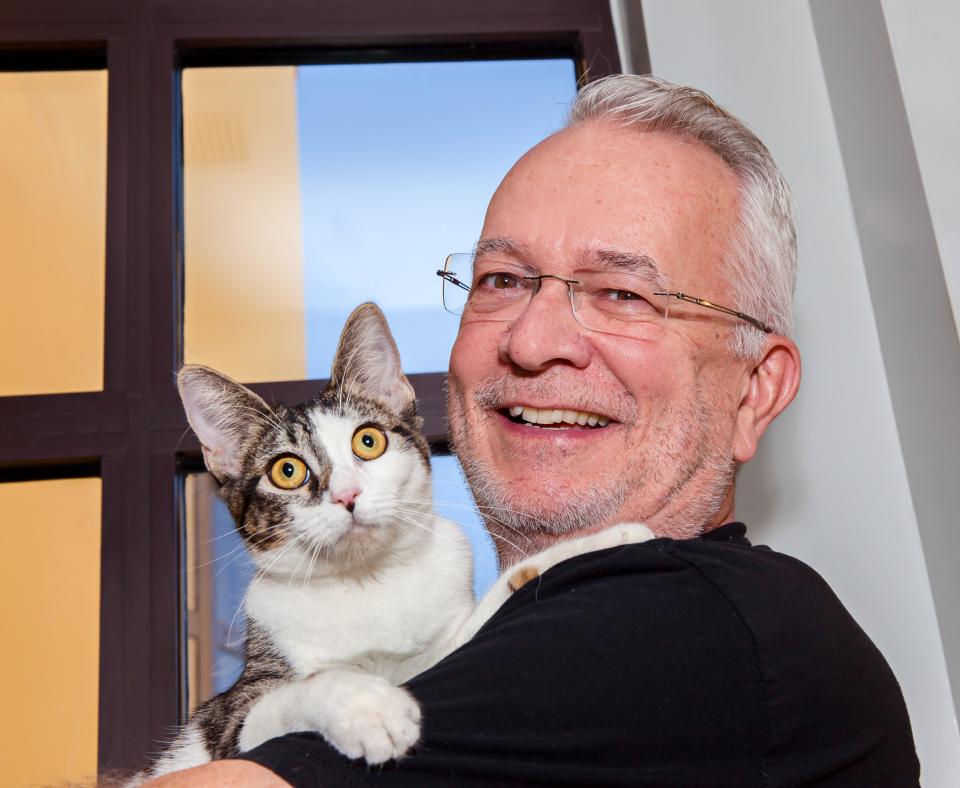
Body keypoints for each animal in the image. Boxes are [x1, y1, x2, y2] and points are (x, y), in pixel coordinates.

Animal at [142, 304, 652, 780]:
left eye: (368, 441)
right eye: (287, 471)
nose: (347, 495)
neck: (368, 580)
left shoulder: (444, 647)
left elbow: (512, 584)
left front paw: (614, 536)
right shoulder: (231, 718)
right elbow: (298, 690)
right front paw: (366, 706)